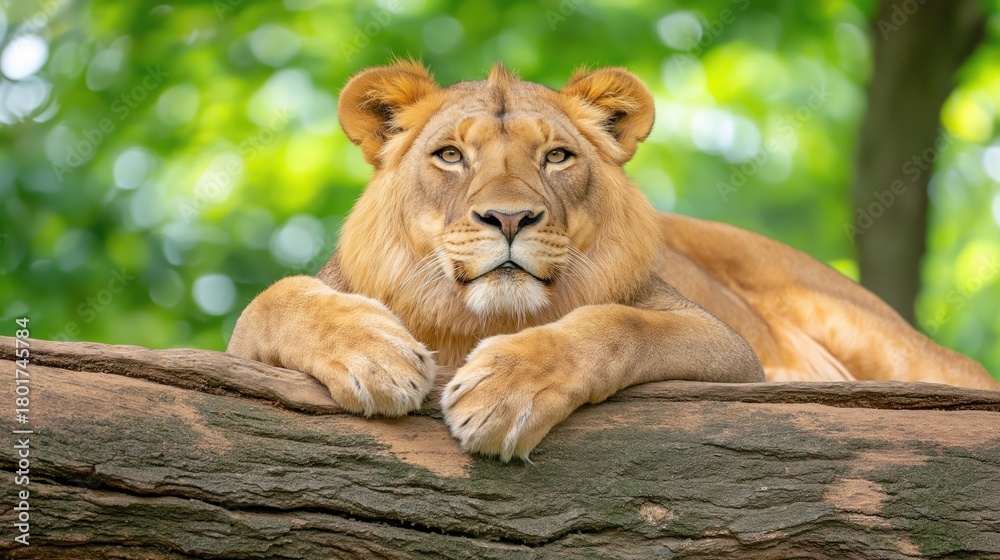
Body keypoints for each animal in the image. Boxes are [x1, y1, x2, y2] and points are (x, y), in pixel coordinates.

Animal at [228, 61, 1000, 461]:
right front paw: (377, 356)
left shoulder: (732, 353)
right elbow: (272, 302)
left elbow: (617, 325)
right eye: (450, 155)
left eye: (556, 157)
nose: (509, 218)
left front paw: (505, 393)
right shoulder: (249, 340)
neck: (480, 322)